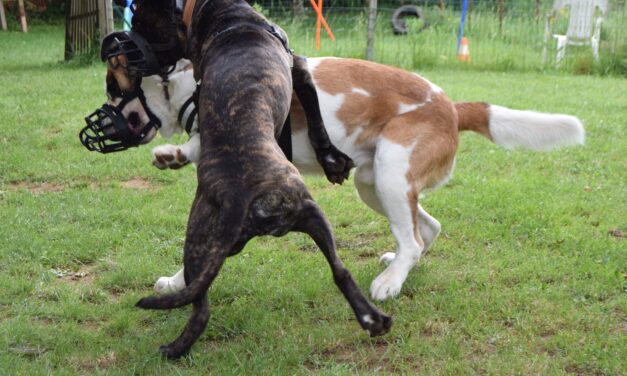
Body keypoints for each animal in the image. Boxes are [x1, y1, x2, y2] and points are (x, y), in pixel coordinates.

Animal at [116, 57, 584, 302]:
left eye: (115, 84)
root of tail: (451, 106)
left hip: (392, 174)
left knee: (414, 238)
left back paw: (390, 282)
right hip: (374, 184)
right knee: (425, 230)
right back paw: (400, 266)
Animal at [121, 0, 392, 358]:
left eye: (140, 21)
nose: (128, 54)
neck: (223, 16)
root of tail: (239, 195)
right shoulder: (299, 70)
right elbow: (317, 120)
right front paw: (332, 160)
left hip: (209, 240)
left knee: (201, 305)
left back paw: (176, 348)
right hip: (302, 214)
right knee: (339, 271)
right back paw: (373, 320)